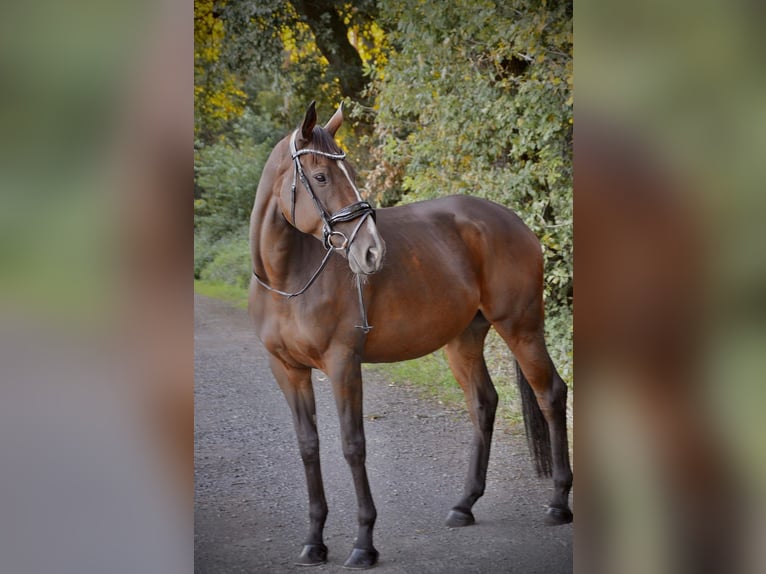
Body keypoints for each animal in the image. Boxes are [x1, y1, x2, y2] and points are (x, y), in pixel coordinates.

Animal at [249, 103, 572, 572]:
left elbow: (353, 445)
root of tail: (514, 221)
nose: (371, 252)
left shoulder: (343, 364)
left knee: (551, 393)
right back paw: (464, 505)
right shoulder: (287, 370)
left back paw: (559, 503)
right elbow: (309, 447)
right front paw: (313, 542)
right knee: (483, 403)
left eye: (350, 171)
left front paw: (363, 544)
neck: (289, 279)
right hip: (463, 339)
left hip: (521, 326)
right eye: (321, 176)